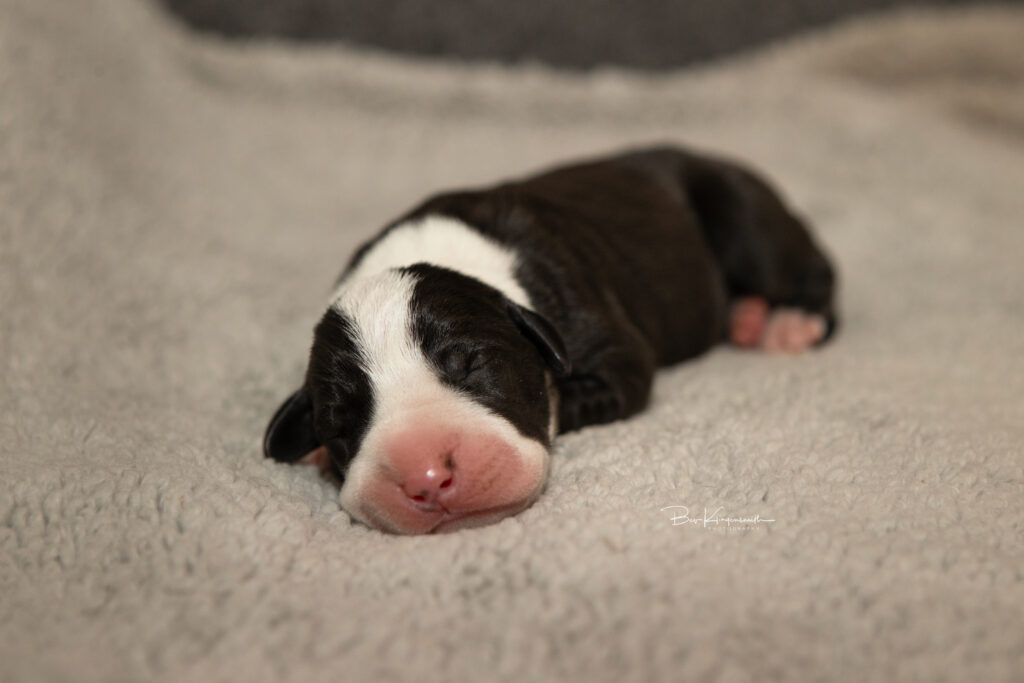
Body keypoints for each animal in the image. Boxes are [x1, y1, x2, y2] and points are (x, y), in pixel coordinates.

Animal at [264, 147, 839, 536]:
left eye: (470, 364)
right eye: (341, 424)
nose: (427, 478)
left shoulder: (611, 350)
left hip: (742, 214)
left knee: (811, 271)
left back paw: (788, 322)